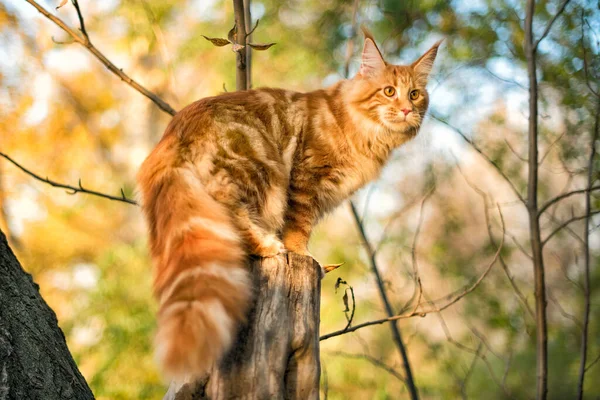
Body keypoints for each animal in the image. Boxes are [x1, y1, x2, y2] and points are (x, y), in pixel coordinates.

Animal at [137, 28, 440, 382]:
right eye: (389, 92)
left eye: (415, 95)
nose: (406, 110)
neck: (363, 131)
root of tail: (172, 131)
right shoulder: (306, 178)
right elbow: (298, 227)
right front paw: (302, 254)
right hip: (256, 167)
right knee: (233, 213)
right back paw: (268, 245)